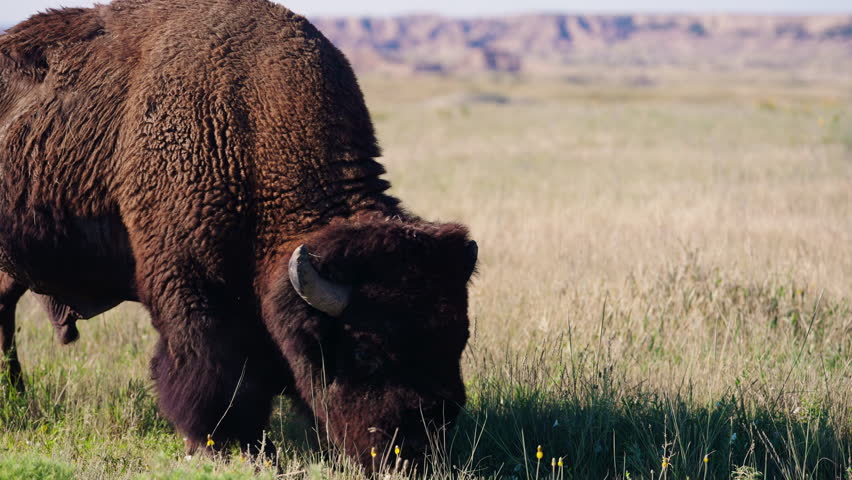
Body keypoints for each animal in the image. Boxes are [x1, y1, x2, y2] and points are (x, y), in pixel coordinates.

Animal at [0, 0, 477, 468]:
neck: (251, 127)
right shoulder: (194, 287)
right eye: (365, 351)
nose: (414, 450)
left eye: (458, 338)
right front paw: (222, 446)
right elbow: (211, 367)